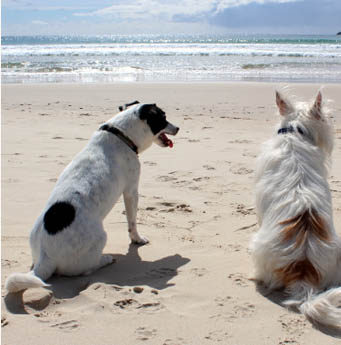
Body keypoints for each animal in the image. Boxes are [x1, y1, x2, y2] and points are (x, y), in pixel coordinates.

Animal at [5, 101, 178, 292]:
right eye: (163, 117)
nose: (178, 128)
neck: (121, 134)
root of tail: (45, 257)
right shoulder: (131, 191)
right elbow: (132, 223)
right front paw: (137, 239)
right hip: (100, 238)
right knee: (86, 269)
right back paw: (105, 259)